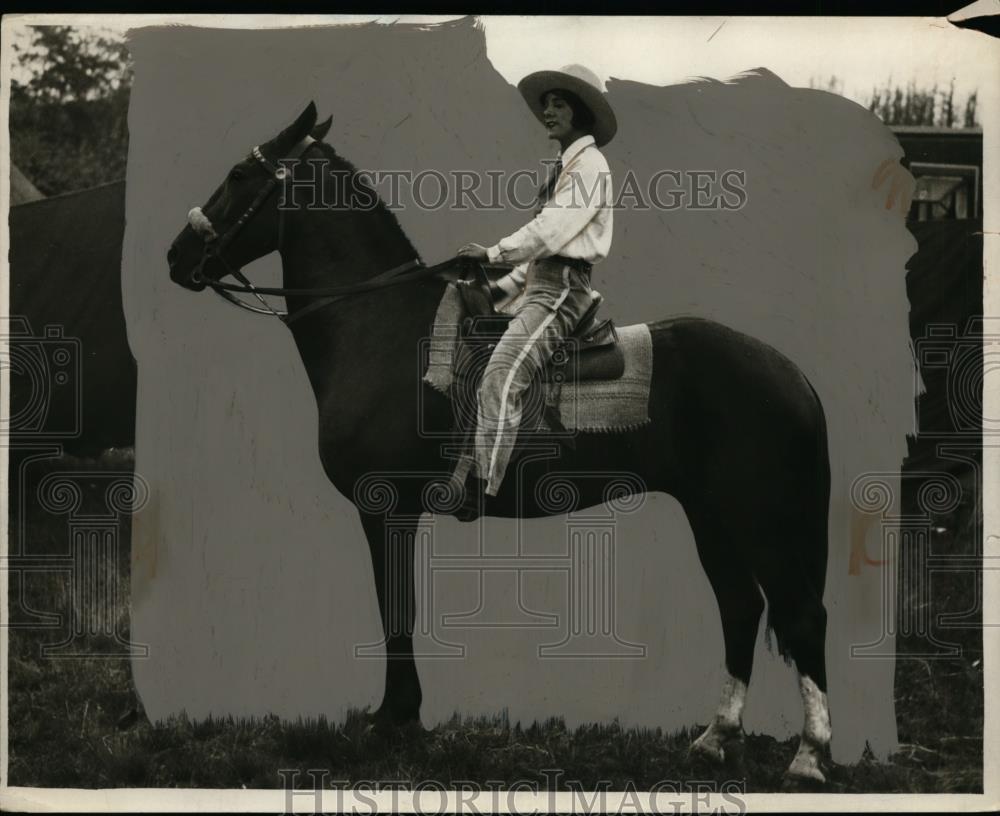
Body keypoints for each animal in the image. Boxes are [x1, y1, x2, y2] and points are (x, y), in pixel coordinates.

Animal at [168, 103, 832, 784]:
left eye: (239, 174)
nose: (177, 255)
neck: (381, 331)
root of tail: (791, 373)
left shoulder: (385, 508)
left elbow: (395, 609)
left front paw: (394, 719)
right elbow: (397, 608)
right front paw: (399, 716)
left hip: (759, 518)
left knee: (800, 615)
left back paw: (808, 757)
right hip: (711, 514)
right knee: (740, 607)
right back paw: (715, 738)